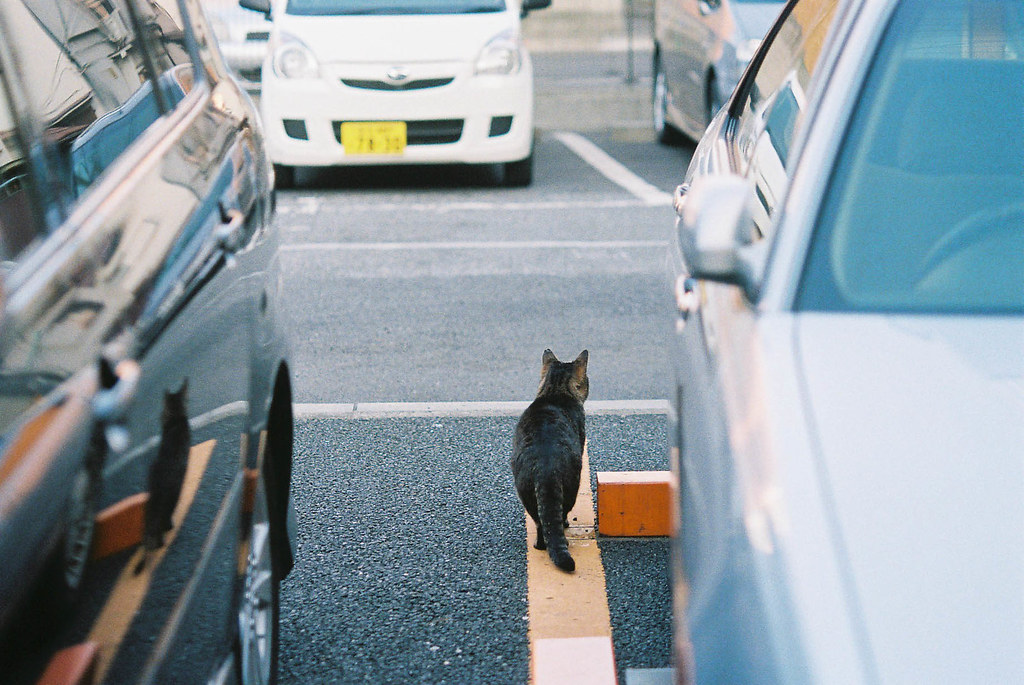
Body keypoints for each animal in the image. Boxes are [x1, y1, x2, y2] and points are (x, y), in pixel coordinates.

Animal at [135, 378, 191, 573]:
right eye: (162, 413)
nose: (162, 416)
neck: (176, 418)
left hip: (150, 507)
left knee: (150, 530)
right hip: (173, 495)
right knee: (163, 522)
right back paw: (166, 533)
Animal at [509, 348, 589, 573]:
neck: (554, 392)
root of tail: (547, 466)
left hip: (525, 491)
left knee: (540, 522)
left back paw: (539, 545)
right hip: (571, 486)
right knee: (559, 517)